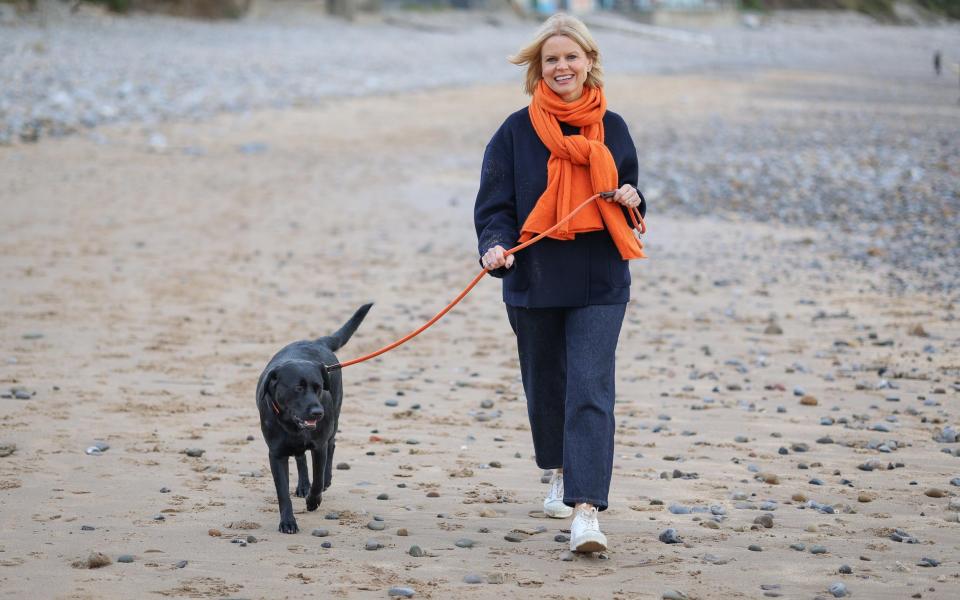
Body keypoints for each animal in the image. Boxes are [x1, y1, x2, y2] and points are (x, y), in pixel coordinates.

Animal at [255, 304, 372, 536]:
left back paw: (324, 481)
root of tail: (318, 341)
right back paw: (302, 485)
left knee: (331, 445)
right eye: (298, 388)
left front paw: (313, 500)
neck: (291, 426)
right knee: (300, 457)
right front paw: (288, 522)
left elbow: (317, 479)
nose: (318, 412)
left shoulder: (319, 446)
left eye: (318, 388)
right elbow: (283, 492)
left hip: (334, 418)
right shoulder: (276, 454)